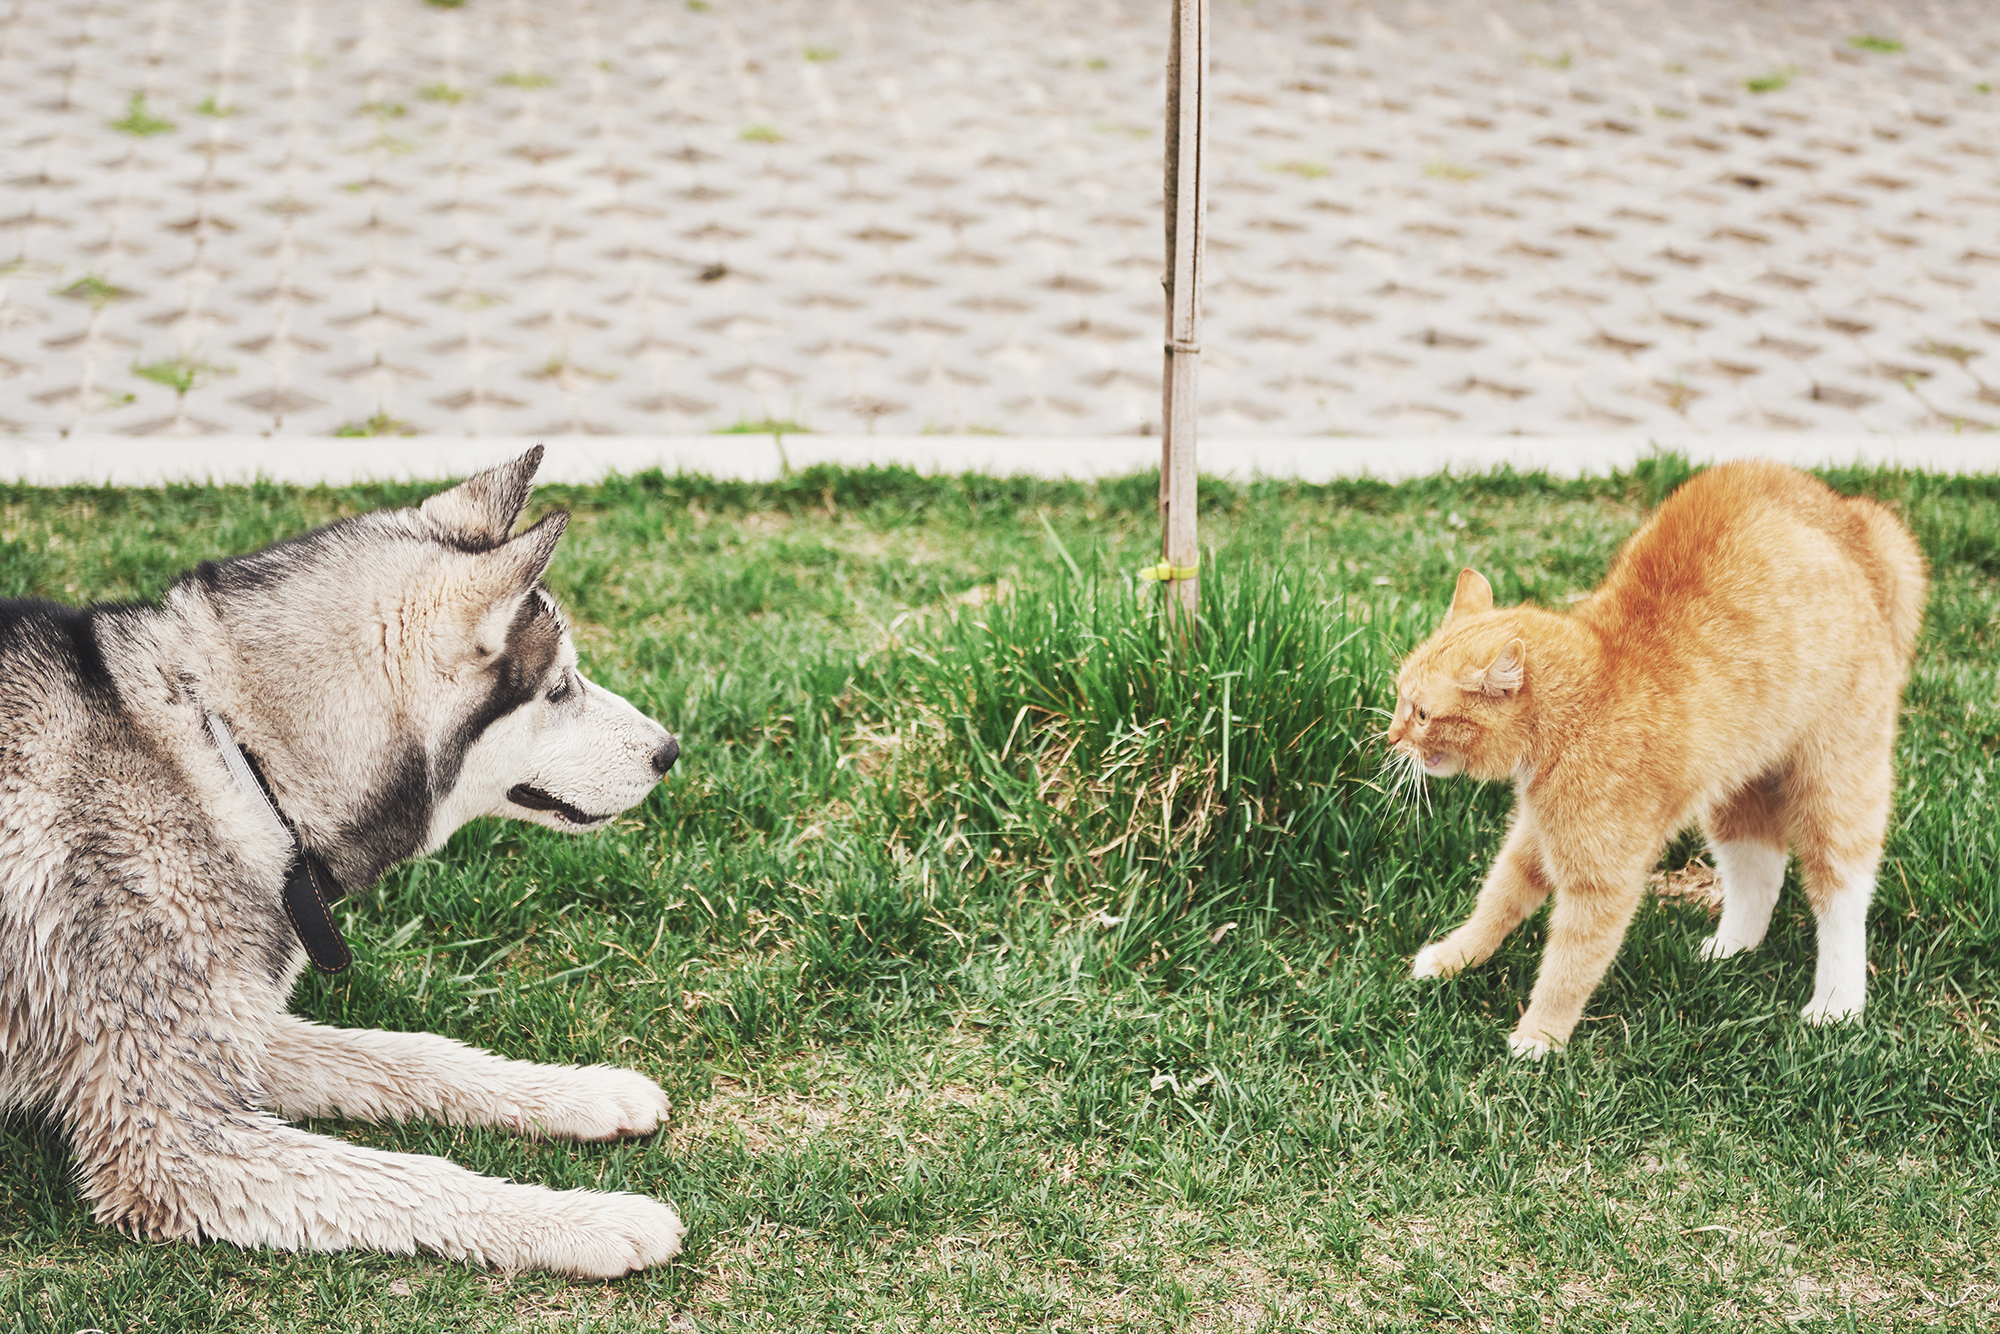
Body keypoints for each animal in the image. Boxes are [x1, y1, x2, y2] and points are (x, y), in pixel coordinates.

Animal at [0, 452, 688, 1280]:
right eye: (559, 689)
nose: (670, 750)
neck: (235, 764)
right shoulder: (167, 1141)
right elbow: (415, 1179)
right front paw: (591, 1219)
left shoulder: (237, 1030)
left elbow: (417, 1056)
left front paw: (583, 1094)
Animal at [1392, 464, 1920, 1056]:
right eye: (1399, 697)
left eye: (1421, 713)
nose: (1391, 738)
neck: (1590, 696)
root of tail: (1855, 521)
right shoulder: (1536, 837)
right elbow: (1498, 900)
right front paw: (1455, 957)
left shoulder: (1601, 882)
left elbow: (1569, 966)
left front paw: (1540, 1036)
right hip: (1738, 787)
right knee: (1759, 868)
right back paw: (1732, 948)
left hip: (1837, 784)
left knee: (1842, 893)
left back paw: (1837, 1005)